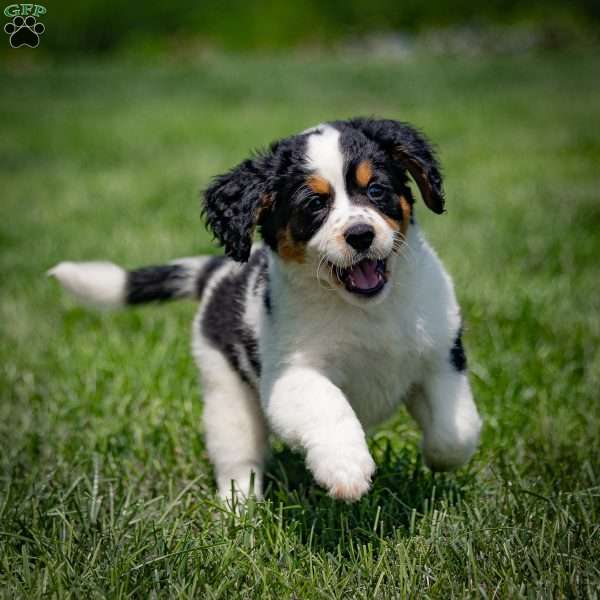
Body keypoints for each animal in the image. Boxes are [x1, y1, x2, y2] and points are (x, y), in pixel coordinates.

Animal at [50, 116, 482, 502]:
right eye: (314, 203)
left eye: (376, 190)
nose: (361, 235)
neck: (368, 309)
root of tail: (217, 273)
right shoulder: (291, 376)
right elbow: (330, 408)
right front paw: (346, 469)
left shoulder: (442, 356)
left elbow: (457, 430)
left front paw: (437, 460)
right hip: (226, 395)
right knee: (238, 461)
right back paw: (239, 514)